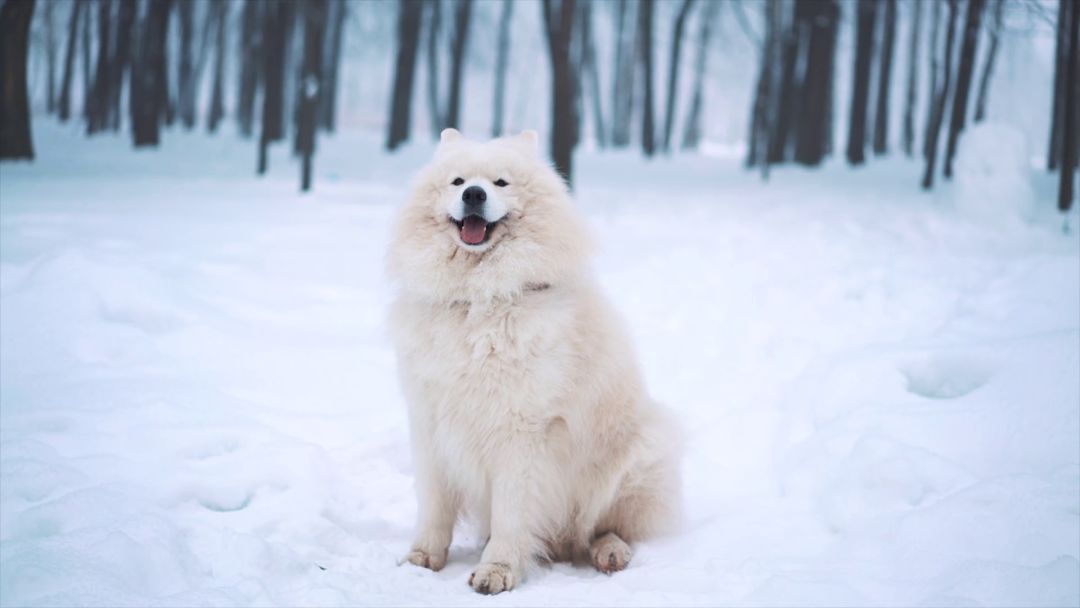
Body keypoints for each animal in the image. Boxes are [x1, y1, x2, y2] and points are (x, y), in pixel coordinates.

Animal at [384, 129, 678, 596]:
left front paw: (496, 570)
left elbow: (511, 514)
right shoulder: (431, 424)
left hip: (638, 456)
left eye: (501, 182)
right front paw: (423, 558)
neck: (479, 300)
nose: (473, 194)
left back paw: (609, 551)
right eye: (457, 181)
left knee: (604, 527)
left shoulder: (521, 433)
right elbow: (433, 507)